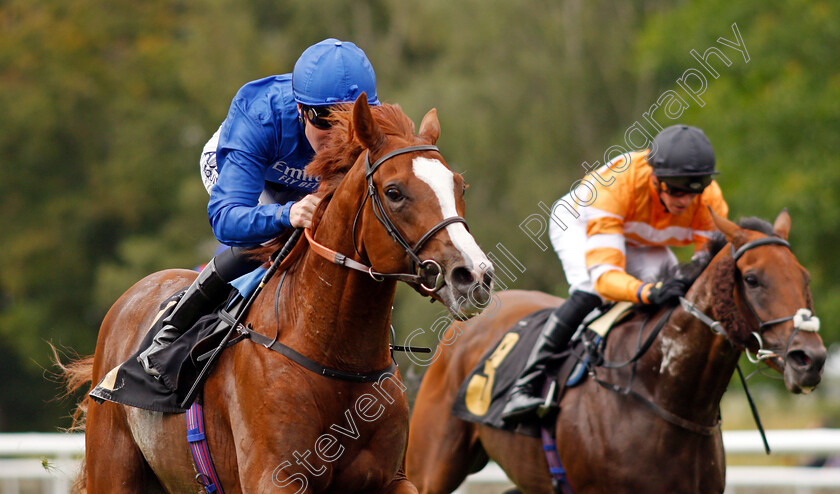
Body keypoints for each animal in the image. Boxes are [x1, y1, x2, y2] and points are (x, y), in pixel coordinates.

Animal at [67, 94, 498, 492]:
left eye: (460, 186)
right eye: (394, 192)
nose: (474, 276)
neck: (334, 356)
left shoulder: (392, 478)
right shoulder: (275, 477)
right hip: (114, 470)